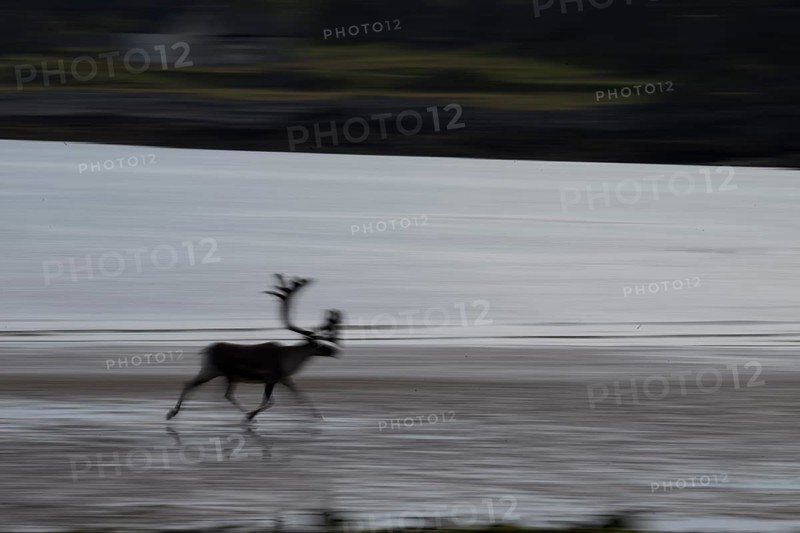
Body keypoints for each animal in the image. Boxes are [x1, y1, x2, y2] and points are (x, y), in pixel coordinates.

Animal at [166, 274, 342, 422]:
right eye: (320, 344)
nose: (335, 351)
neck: (290, 359)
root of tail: (206, 350)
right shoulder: (271, 378)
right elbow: (269, 402)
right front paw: (250, 415)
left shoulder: (285, 378)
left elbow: (300, 394)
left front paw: (318, 415)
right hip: (218, 371)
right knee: (197, 386)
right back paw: (172, 413)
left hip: (220, 373)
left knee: (214, 391)